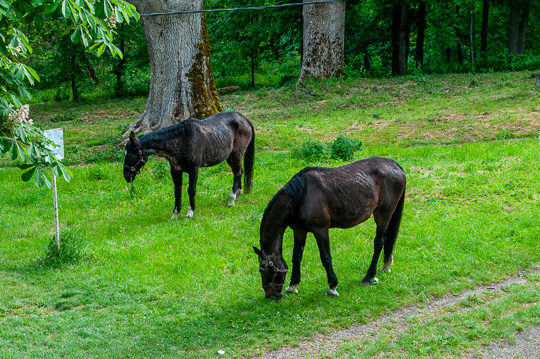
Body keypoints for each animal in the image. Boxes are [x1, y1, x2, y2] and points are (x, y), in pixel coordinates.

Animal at [123, 111, 254, 218]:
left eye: (130, 155)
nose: (126, 176)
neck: (181, 140)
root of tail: (244, 119)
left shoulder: (194, 169)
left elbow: (191, 190)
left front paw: (190, 212)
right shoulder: (175, 171)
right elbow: (177, 192)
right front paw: (175, 214)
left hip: (236, 155)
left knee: (238, 173)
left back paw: (231, 200)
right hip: (230, 158)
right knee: (239, 173)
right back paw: (237, 194)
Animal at [253, 158, 404, 300]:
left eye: (262, 269)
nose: (269, 295)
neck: (300, 197)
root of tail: (395, 165)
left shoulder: (321, 230)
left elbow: (325, 258)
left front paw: (332, 287)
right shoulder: (299, 231)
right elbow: (296, 257)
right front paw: (292, 285)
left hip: (383, 215)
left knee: (379, 243)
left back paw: (368, 276)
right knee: (387, 239)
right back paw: (385, 266)